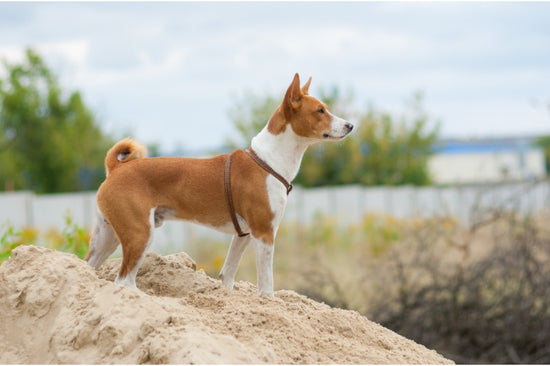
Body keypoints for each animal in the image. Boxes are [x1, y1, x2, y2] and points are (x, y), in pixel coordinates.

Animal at [84, 73, 356, 298]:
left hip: (107, 238)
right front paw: (268, 302)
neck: (268, 161)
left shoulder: (244, 234)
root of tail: (117, 168)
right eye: (320, 111)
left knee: (89, 268)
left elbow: (228, 273)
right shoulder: (264, 233)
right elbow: (266, 283)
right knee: (123, 280)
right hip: (140, 233)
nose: (350, 125)